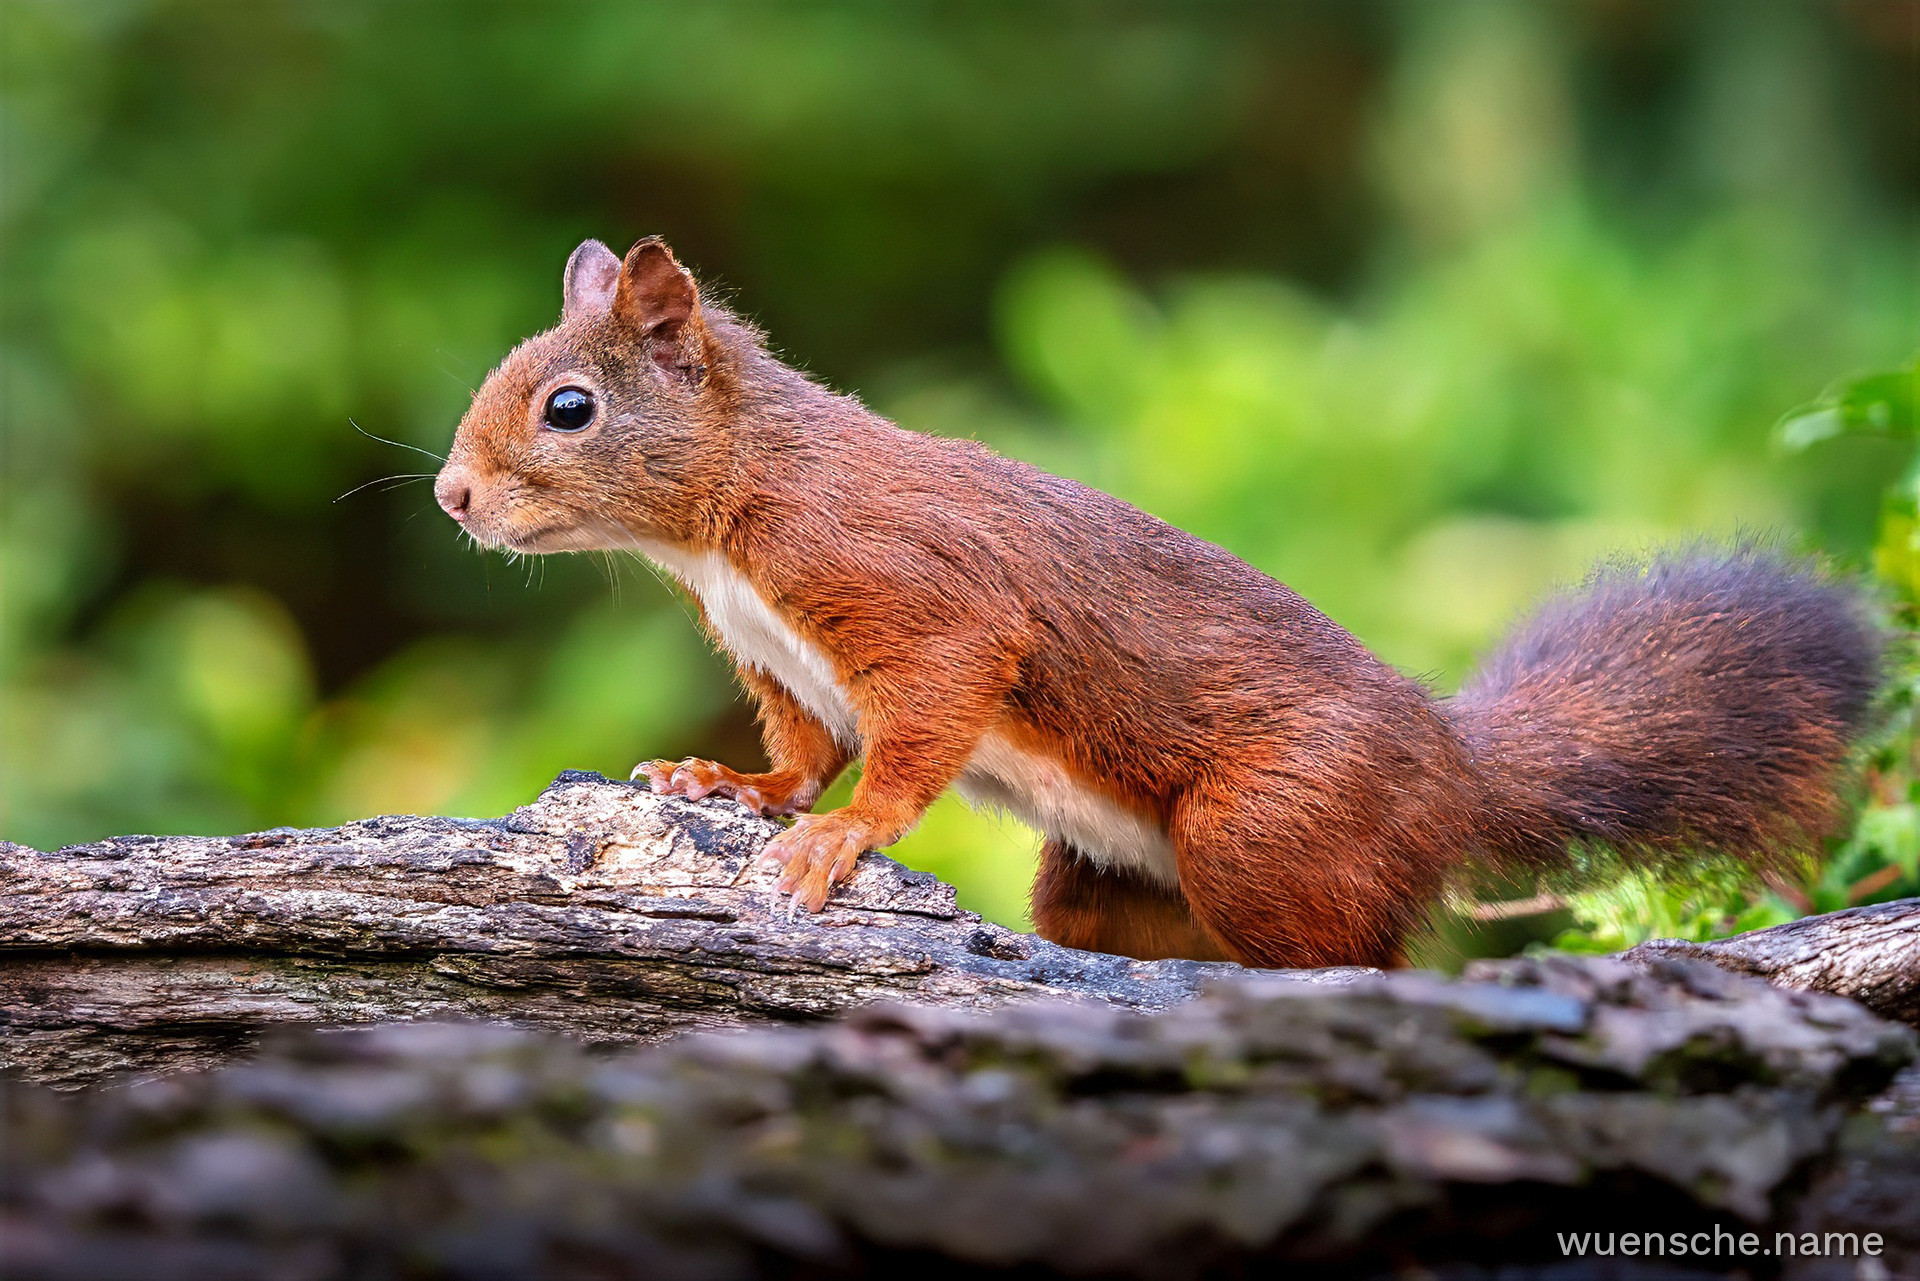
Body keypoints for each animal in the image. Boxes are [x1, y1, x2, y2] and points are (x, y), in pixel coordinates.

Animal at [433, 236, 1883, 969]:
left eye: (571, 406)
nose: (450, 496)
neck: (725, 530)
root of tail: (1455, 774)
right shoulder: (780, 661)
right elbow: (801, 749)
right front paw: (722, 784)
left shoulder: (914, 594)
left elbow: (914, 736)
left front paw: (841, 839)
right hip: (1110, 882)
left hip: (1271, 824)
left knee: (1355, 961)